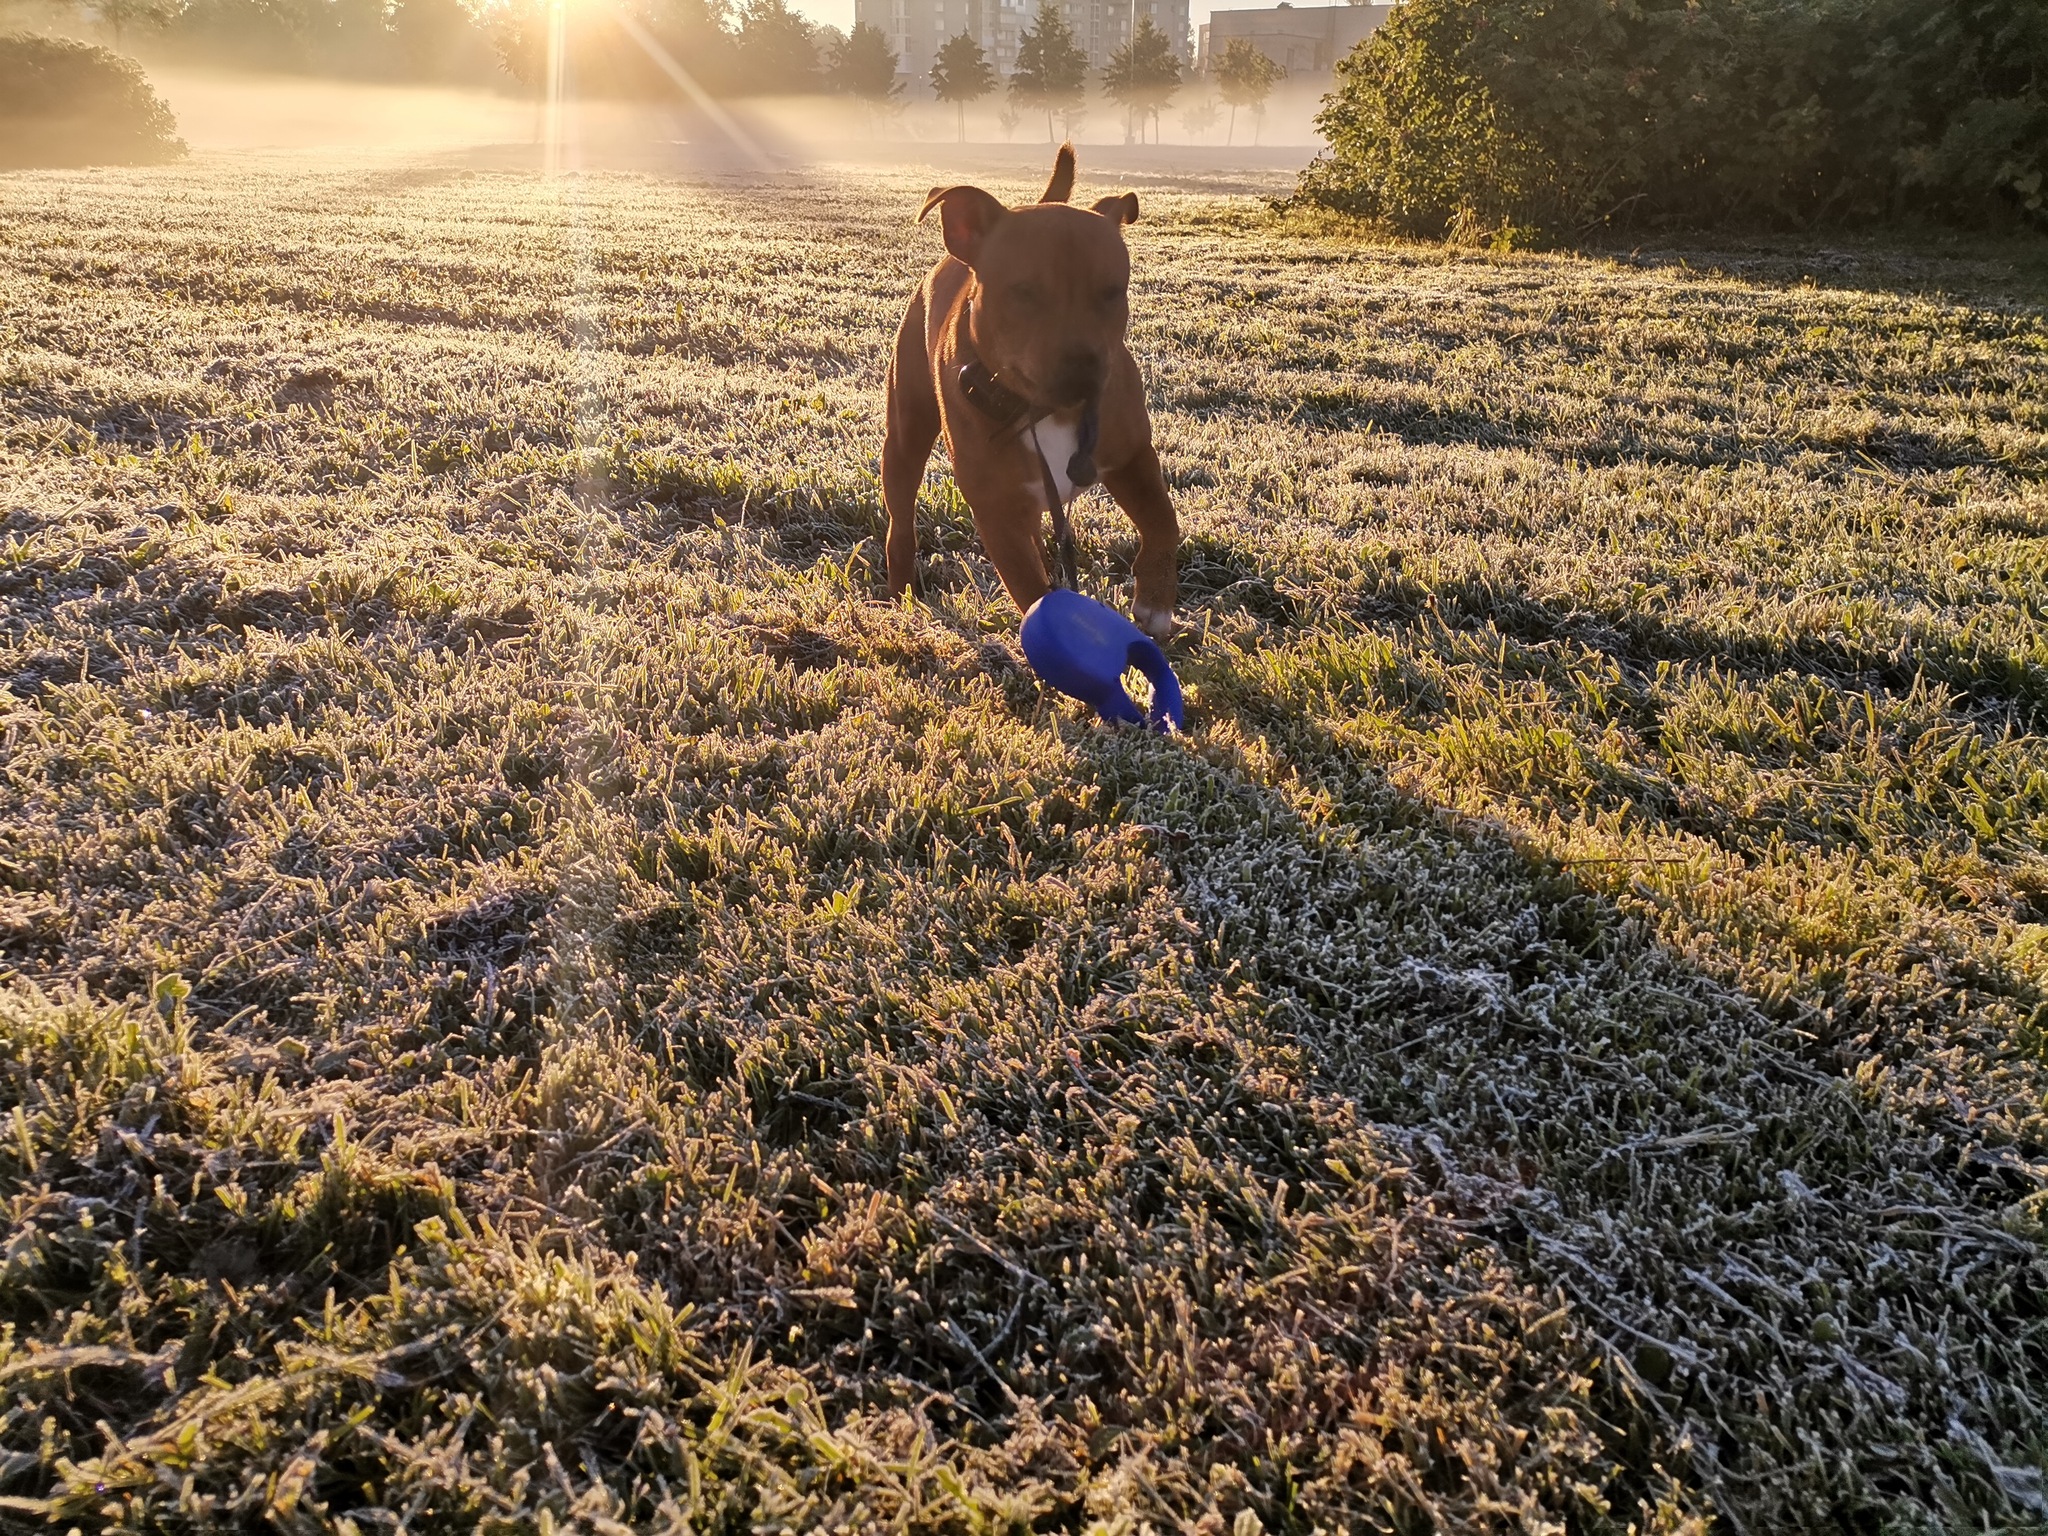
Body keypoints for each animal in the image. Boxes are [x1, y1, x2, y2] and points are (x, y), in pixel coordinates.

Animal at [884, 145, 1187, 643]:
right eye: (1024, 292)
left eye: (1112, 292)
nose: (1083, 366)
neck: (1045, 411)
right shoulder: (997, 511)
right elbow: (1031, 590)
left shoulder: (1132, 455)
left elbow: (1163, 520)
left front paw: (1156, 601)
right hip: (905, 436)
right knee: (901, 519)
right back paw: (899, 589)